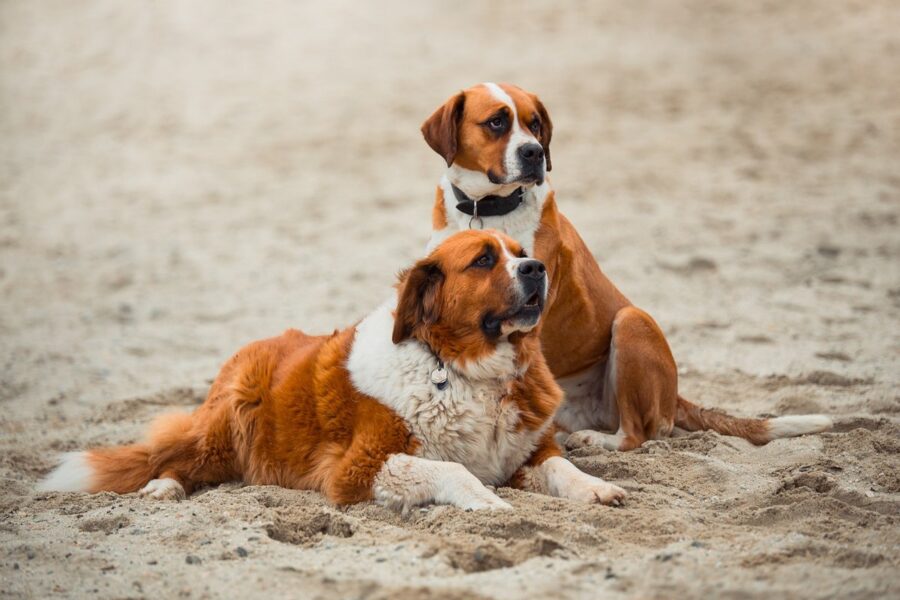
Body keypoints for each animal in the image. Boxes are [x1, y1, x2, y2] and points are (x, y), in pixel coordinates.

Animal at [40, 229, 624, 506]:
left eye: (521, 251)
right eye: (483, 260)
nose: (537, 268)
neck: (465, 371)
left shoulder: (527, 449)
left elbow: (561, 466)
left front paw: (595, 488)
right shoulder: (358, 467)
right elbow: (451, 469)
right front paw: (486, 498)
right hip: (227, 426)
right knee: (176, 456)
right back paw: (165, 486)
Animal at [422, 83, 828, 450]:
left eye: (535, 124)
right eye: (496, 122)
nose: (534, 152)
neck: (487, 207)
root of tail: (674, 397)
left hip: (632, 322)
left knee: (636, 434)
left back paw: (596, 440)